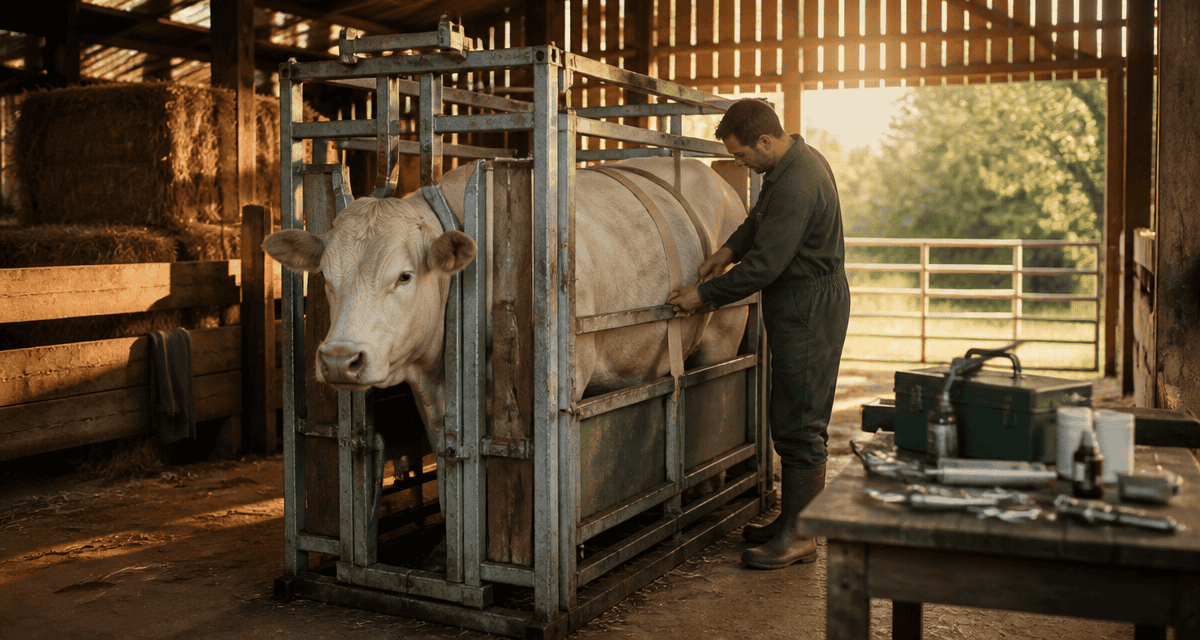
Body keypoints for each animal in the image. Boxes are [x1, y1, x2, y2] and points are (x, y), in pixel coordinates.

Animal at [262, 157, 749, 536]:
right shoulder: (435, 400)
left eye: (404, 275)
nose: (339, 360)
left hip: (722, 337)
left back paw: (706, 488)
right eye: (325, 277)